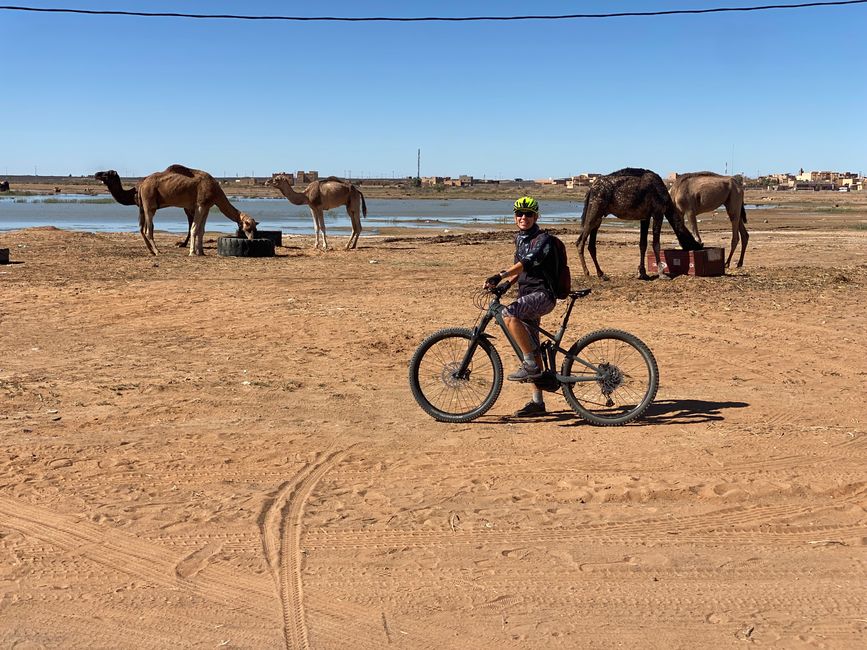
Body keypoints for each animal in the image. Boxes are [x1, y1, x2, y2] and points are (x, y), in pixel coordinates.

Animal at [96, 165, 258, 256]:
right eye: (248, 227)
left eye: (254, 227)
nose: (251, 239)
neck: (216, 192)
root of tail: (142, 184)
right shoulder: (200, 205)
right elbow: (194, 228)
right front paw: (192, 252)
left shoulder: (207, 207)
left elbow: (201, 230)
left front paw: (201, 252)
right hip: (149, 205)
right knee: (148, 229)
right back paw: (157, 251)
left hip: (147, 206)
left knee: (144, 228)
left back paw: (153, 250)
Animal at [576, 167, 704, 278]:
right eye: (694, 245)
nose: (698, 248)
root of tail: (591, 189)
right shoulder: (658, 212)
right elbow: (656, 243)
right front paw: (662, 274)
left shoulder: (645, 217)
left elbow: (643, 244)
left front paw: (642, 273)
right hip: (596, 206)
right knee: (580, 241)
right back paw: (587, 272)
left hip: (598, 213)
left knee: (590, 243)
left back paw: (601, 274)